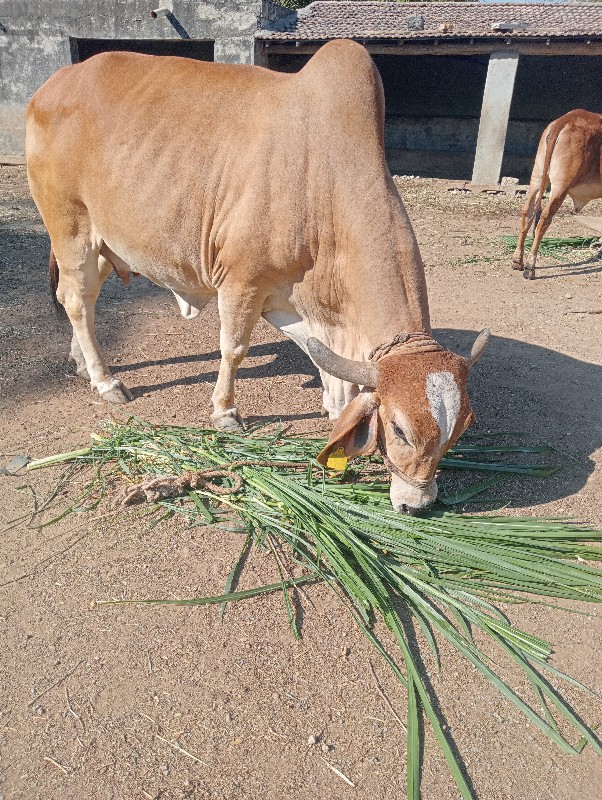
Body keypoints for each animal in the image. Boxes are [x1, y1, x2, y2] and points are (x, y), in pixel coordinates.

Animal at [25, 39, 490, 512]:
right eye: (398, 429)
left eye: (461, 429)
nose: (417, 504)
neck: (321, 181)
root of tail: (52, 85)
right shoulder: (241, 281)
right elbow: (234, 350)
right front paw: (225, 413)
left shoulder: (293, 302)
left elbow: (322, 361)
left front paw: (332, 402)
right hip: (71, 227)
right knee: (77, 299)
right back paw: (105, 381)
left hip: (105, 242)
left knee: (81, 298)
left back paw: (83, 363)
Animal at [510, 109, 600, 278]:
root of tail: (568, 117)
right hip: (560, 186)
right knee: (544, 219)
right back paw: (530, 268)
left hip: (538, 176)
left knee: (528, 212)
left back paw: (518, 262)